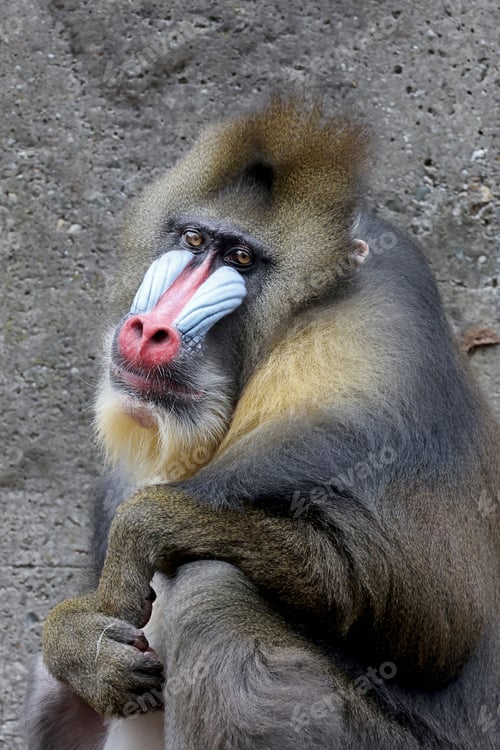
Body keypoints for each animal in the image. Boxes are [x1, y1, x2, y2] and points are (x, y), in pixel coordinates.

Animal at [25, 99, 499, 749]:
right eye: (194, 239)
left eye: (242, 259)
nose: (149, 331)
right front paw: (79, 641)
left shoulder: (364, 358)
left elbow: (429, 612)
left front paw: (142, 527)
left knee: (212, 591)